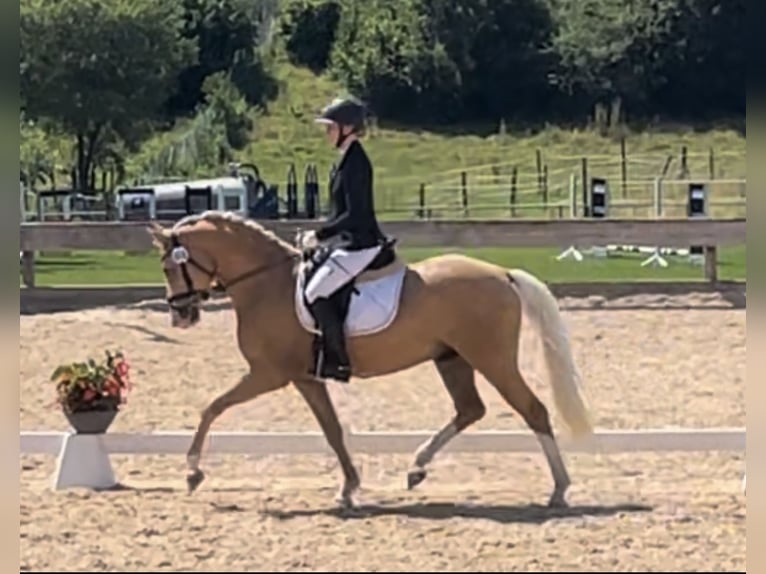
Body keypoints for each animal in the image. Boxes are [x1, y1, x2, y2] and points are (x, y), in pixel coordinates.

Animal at [148, 210, 592, 508]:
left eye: (170, 266)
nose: (180, 316)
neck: (265, 283)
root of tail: (502, 274)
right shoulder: (306, 378)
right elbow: (332, 431)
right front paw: (348, 488)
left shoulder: (269, 373)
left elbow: (212, 407)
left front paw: (192, 472)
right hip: (452, 358)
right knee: (470, 409)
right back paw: (416, 468)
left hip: (492, 359)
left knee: (532, 410)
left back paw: (559, 489)